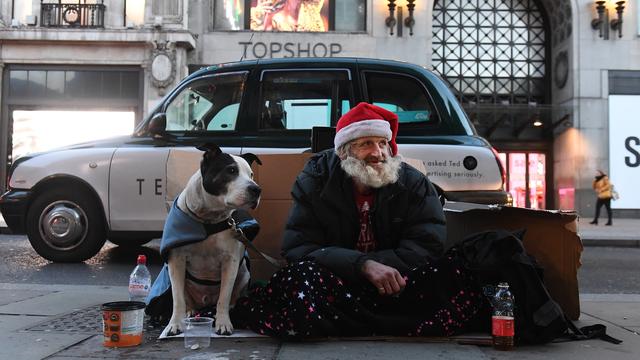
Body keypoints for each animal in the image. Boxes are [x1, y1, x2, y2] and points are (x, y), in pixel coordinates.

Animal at [161, 143, 262, 338]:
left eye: (251, 174)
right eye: (231, 170)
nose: (256, 189)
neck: (208, 220)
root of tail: (205, 302)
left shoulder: (230, 262)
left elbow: (224, 297)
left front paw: (223, 323)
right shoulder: (176, 261)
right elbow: (177, 299)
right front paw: (174, 324)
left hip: (244, 273)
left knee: (230, 296)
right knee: (187, 300)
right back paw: (190, 311)